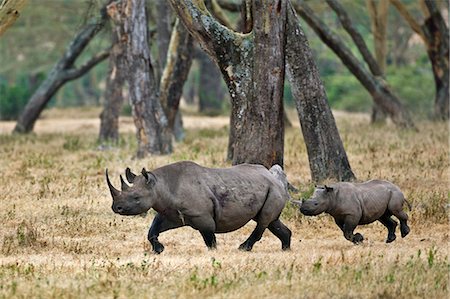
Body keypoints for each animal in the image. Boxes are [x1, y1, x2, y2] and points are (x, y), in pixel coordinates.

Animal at [106, 163, 292, 254]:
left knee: (263, 221)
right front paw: (159, 250)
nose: (116, 207)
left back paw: (243, 249)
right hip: (266, 188)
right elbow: (152, 230)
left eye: (136, 198)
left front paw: (214, 254)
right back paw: (286, 249)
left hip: (273, 189)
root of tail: (273, 176)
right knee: (271, 221)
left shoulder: (201, 216)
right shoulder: (170, 212)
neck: (159, 185)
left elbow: (209, 237)